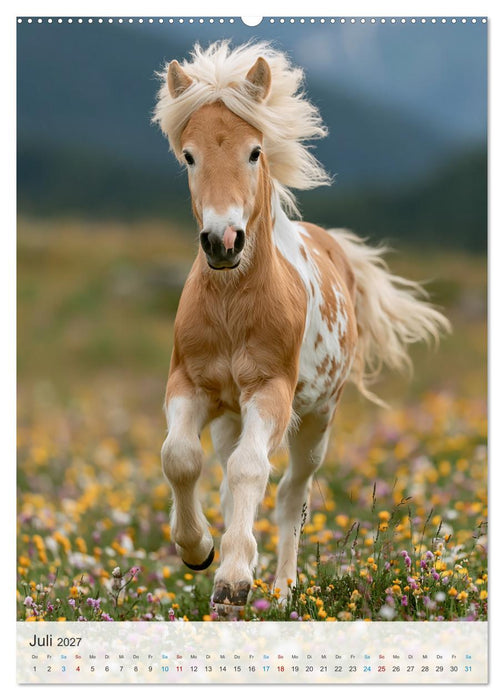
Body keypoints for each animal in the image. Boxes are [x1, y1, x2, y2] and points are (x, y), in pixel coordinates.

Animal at [153, 41, 450, 616]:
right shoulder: (189, 384)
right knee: (227, 477)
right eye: (189, 156)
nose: (223, 241)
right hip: (229, 417)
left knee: (291, 492)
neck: (233, 306)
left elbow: (252, 471)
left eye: (253, 152)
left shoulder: (272, 391)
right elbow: (179, 457)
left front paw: (233, 579)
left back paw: (285, 590)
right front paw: (199, 551)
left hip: (317, 419)